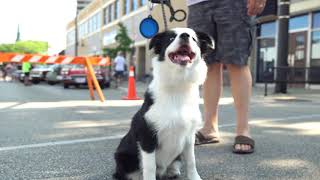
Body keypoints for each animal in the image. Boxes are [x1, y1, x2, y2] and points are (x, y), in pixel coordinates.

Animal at [114, 28, 214, 180]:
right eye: (171, 38)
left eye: (194, 38)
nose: (185, 36)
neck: (178, 87)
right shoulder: (147, 136)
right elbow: (150, 167)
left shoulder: (189, 136)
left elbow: (191, 161)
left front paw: (194, 177)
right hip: (122, 155)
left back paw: (172, 171)